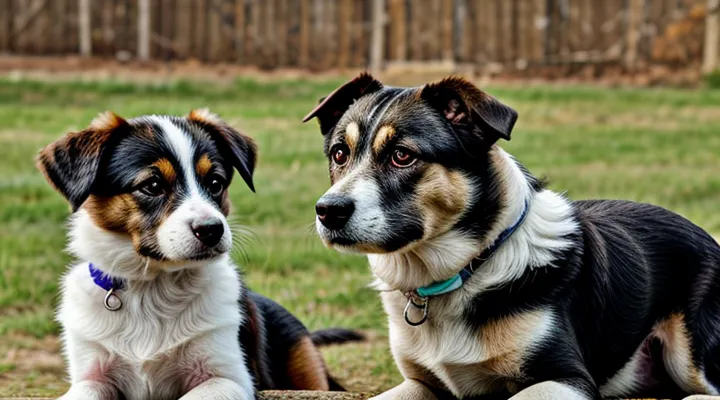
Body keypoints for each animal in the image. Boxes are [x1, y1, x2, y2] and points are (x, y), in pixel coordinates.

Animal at [38, 110, 360, 400]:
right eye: (152, 185)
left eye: (215, 182)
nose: (211, 230)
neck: (153, 287)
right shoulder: (91, 377)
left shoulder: (230, 378)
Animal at [302, 74, 720, 400]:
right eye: (339, 154)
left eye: (402, 156)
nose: (328, 211)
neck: (473, 263)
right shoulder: (420, 382)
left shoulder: (567, 377)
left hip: (689, 352)